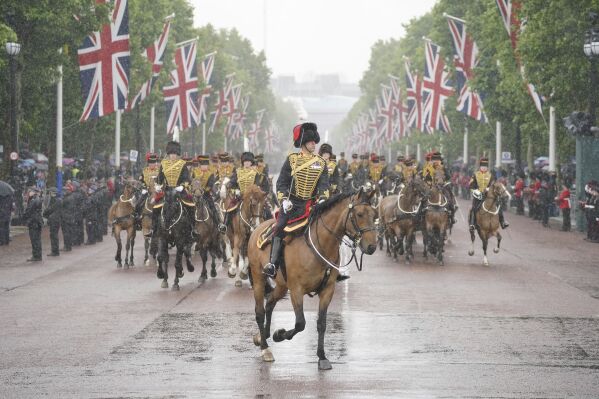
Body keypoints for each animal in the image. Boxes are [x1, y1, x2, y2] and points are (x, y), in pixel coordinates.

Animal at [248, 189, 380, 370]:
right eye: (359, 214)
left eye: (374, 214)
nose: (372, 247)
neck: (320, 245)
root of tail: (257, 228)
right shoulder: (296, 290)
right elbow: (300, 323)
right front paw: (279, 334)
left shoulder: (327, 290)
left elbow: (321, 323)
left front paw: (322, 356)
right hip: (259, 279)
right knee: (260, 312)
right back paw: (265, 348)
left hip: (282, 285)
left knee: (270, 304)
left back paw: (262, 336)